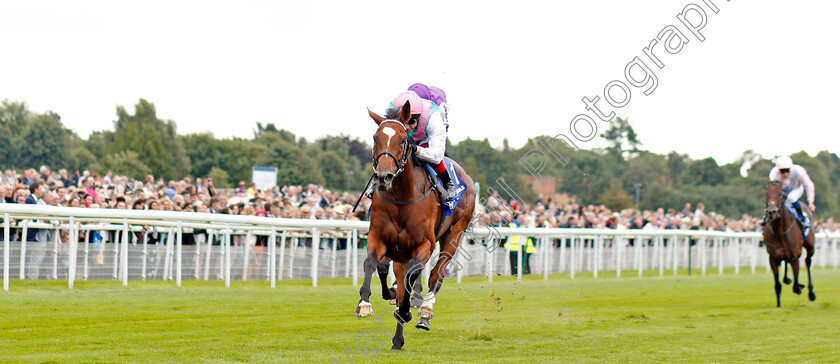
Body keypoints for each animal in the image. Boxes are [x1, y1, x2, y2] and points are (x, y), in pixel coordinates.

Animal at [352, 101, 476, 352]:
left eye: (403, 140)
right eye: (375, 138)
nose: (384, 177)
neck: (402, 197)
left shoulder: (424, 245)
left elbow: (413, 276)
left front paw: (408, 310)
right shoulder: (378, 238)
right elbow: (374, 264)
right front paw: (365, 303)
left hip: (454, 233)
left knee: (435, 275)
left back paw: (424, 311)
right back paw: (397, 337)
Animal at [764, 179, 816, 308]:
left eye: (780, 194)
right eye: (766, 194)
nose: (771, 212)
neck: (780, 231)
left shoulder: (794, 257)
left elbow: (796, 285)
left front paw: (800, 287)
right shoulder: (773, 258)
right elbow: (777, 286)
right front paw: (778, 305)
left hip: (810, 246)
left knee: (808, 261)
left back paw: (811, 293)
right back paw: (787, 279)